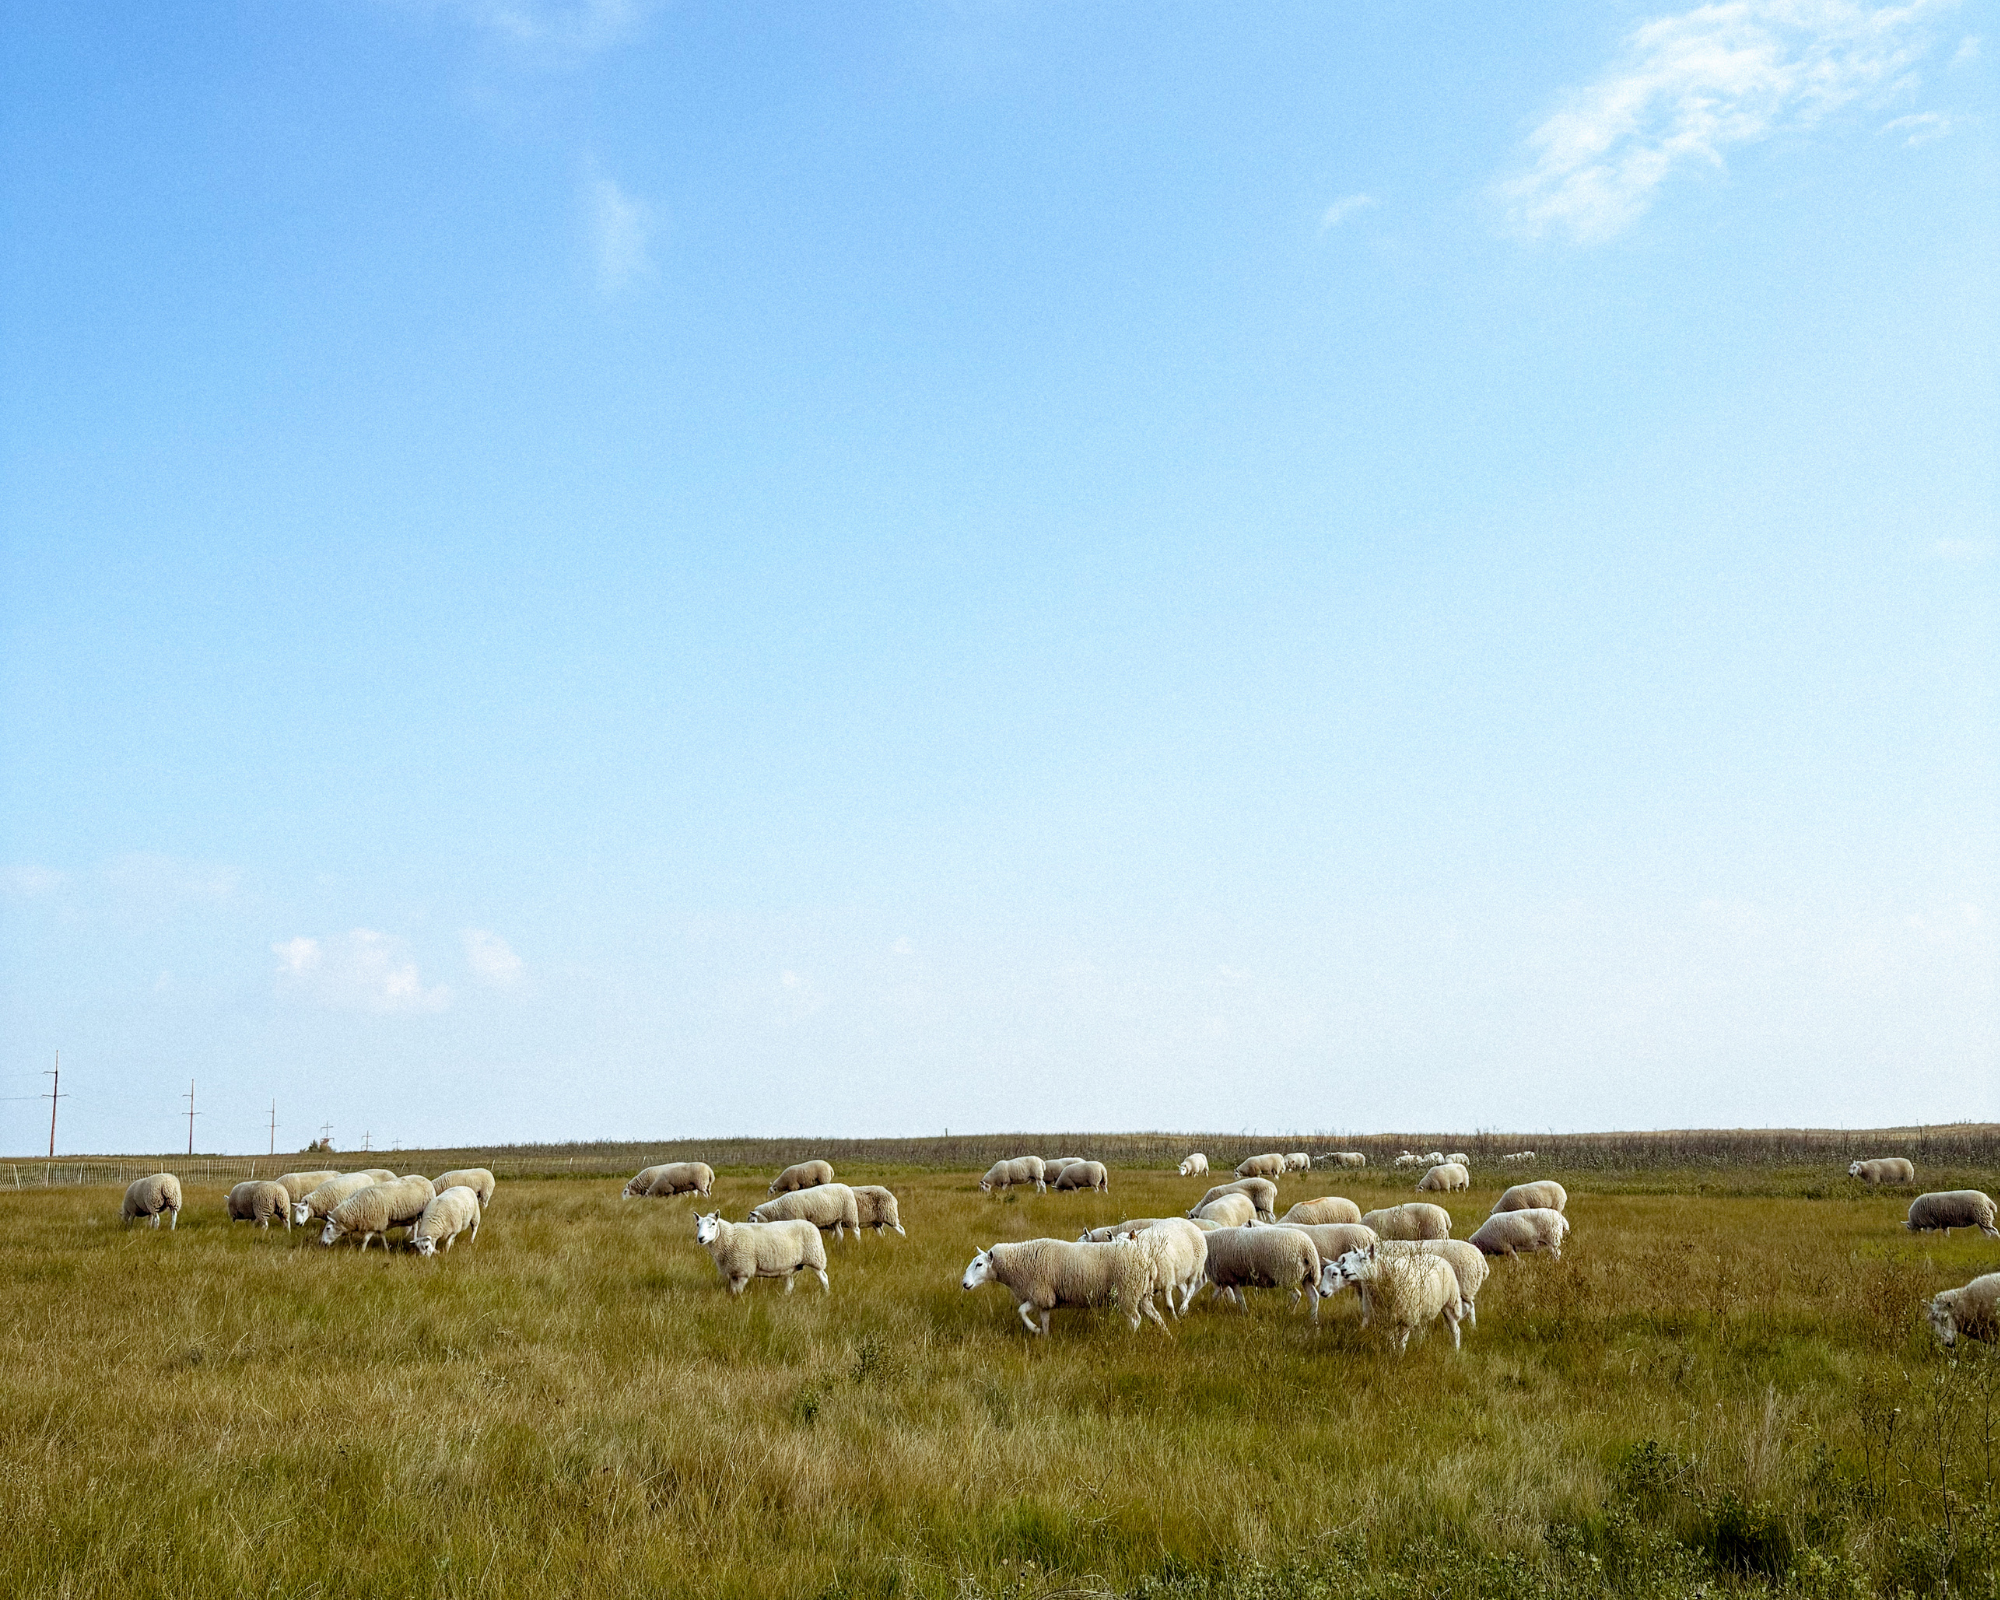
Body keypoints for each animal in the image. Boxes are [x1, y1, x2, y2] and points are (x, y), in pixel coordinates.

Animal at [696, 1211, 828, 1295]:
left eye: (713, 1224)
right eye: (697, 1224)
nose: (700, 1238)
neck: (729, 1237)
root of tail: (812, 1225)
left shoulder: (743, 1271)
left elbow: (738, 1292)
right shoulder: (734, 1271)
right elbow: (733, 1291)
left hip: (815, 1258)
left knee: (824, 1278)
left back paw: (826, 1294)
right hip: (789, 1266)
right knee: (790, 1285)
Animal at [961, 1237, 1164, 1334]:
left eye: (979, 1264)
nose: (964, 1284)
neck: (1017, 1262)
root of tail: (1149, 1263)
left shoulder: (1040, 1293)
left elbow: (1021, 1311)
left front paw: (1034, 1329)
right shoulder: (1044, 1300)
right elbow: (1045, 1320)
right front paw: (1044, 1338)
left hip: (1127, 1291)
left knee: (1135, 1319)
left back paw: (1128, 1338)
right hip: (1142, 1294)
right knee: (1157, 1317)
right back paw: (1166, 1337)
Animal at [1320, 1245, 1463, 1352]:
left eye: (1364, 1258)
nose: (1344, 1269)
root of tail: (1439, 1257)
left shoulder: (1406, 1317)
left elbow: (1401, 1343)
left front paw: (1399, 1358)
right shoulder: (1386, 1316)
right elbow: (1391, 1341)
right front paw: (1391, 1354)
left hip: (1450, 1303)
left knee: (1455, 1330)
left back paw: (1456, 1350)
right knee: (1421, 1329)